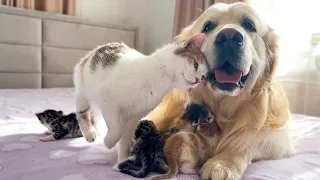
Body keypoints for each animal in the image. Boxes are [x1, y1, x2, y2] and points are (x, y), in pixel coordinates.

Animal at [72, 33, 208, 162]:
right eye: (195, 64)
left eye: (203, 77)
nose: (198, 80)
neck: (163, 81)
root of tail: (94, 51)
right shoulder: (108, 96)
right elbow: (117, 131)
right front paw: (108, 142)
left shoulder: (133, 117)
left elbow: (125, 139)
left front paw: (122, 160)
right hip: (82, 91)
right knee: (82, 112)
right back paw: (90, 132)